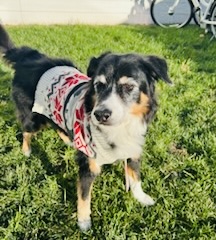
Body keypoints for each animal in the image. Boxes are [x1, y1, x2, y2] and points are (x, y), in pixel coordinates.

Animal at [0, 23, 172, 231]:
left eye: (129, 87)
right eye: (99, 85)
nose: (100, 114)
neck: (119, 129)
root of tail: (28, 57)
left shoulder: (133, 148)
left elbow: (135, 176)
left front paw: (142, 197)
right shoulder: (88, 164)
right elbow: (84, 196)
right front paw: (83, 222)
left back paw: (68, 139)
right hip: (33, 118)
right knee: (26, 131)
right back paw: (26, 150)